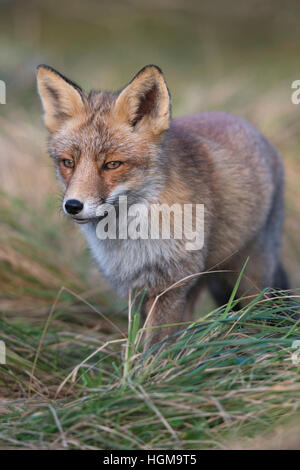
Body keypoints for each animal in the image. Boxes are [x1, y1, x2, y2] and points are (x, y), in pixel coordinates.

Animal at [37, 65, 288, 346]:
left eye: (112, 164)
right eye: (68, 162)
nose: (72, 205)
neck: (130, 241)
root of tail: (242, 121)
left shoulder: (170, 287)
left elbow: (152, 345)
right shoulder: (135, 289)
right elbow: (135, 343)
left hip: (251, 277)